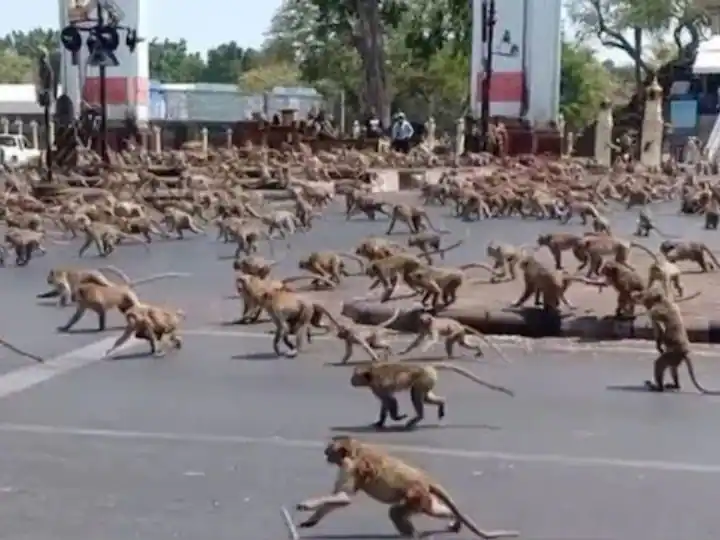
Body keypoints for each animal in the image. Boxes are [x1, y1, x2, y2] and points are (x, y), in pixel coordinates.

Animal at [294, 436, 519, 538]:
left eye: (329, 451)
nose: (325, 455)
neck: (354, 450)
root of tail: (427, 479)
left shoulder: (351, 467)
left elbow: (343, 498)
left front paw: (307, 505)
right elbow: (337, 499)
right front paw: (311, 520)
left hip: (415, 495)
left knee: (396, 511)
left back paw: (411, 535)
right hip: (423, 498)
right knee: (434, 510)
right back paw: (453, 521)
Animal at [351, 362, 514, 429]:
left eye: (354, 376)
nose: (351, 381)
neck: (371, 374)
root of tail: (427, 367)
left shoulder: (378, 387)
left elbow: (391, 400)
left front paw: (396, 417)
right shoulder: (377, 388)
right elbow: (385, 403)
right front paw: (380, 422)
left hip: (423, 379)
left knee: (416, 395)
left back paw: (417, 418)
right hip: (428, 380)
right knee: (425, 397)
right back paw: (441, 405)